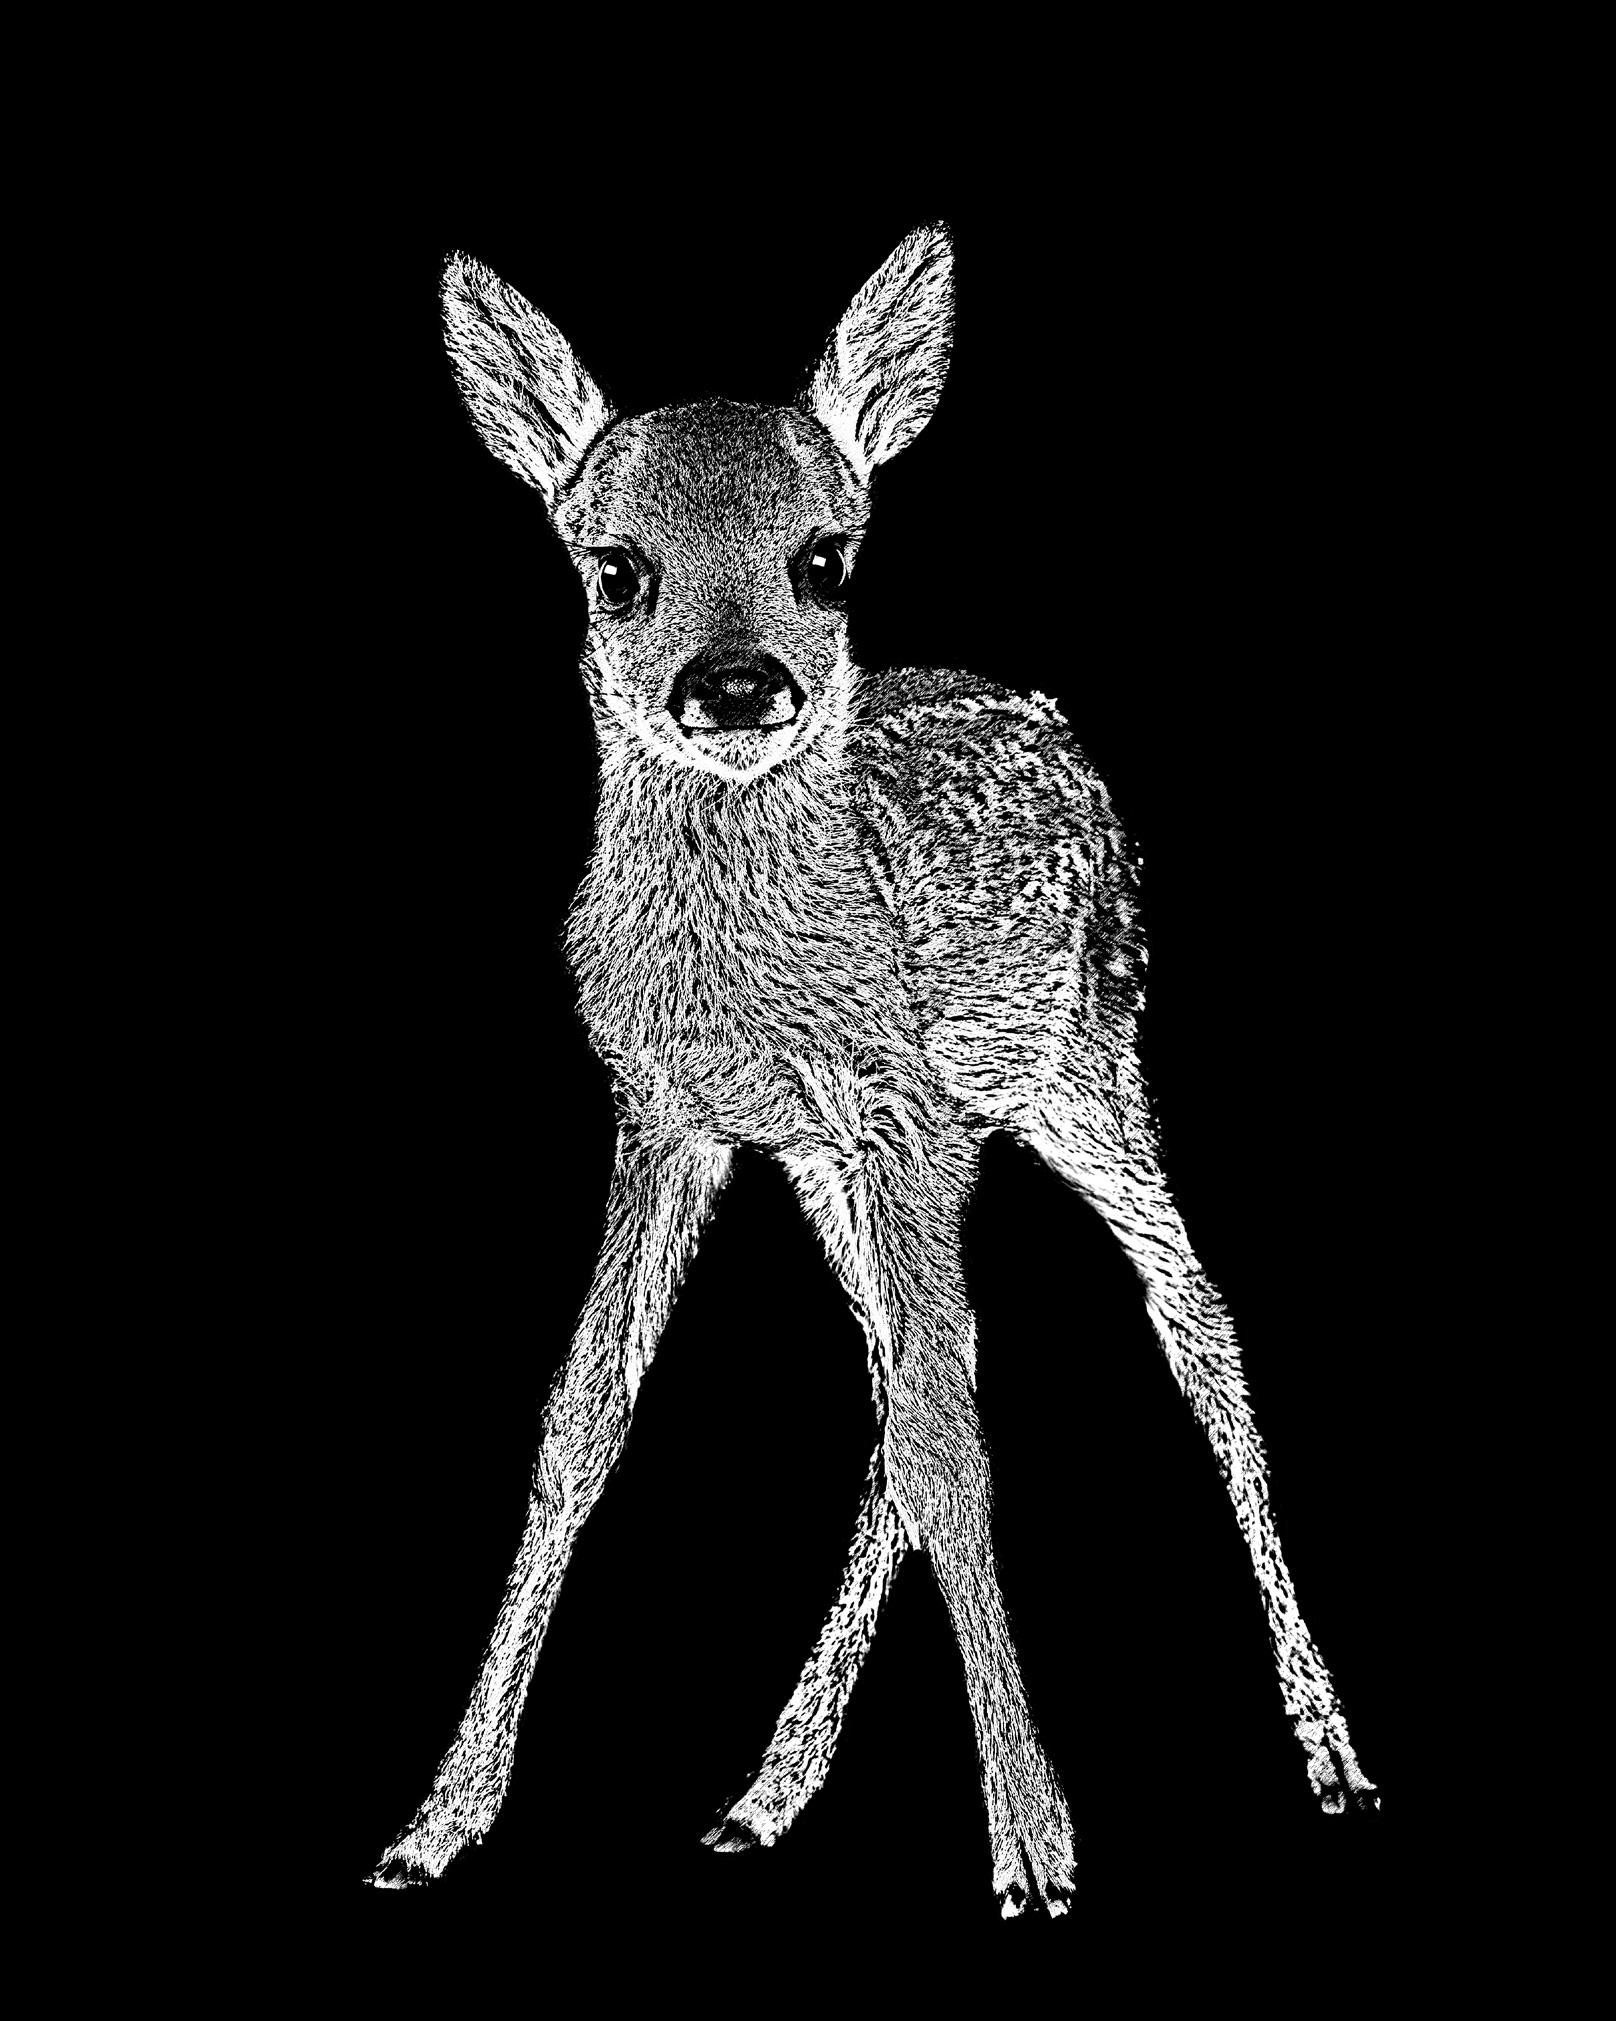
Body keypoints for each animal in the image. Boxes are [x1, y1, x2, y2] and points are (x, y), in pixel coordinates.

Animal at [368, 221, 1377, 1917]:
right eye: (615, 568)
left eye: (826, 557)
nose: (736, 687)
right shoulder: (672, 1116)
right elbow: (580, 1423)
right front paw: (438, 1821)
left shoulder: (899, 1104)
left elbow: (955, 1447)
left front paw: (1036, 1847)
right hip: (857, 1161)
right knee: (917, 1381)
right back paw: (762, 1794)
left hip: (1082, 1065)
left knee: (1189, 1328)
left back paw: (1331, 1752)